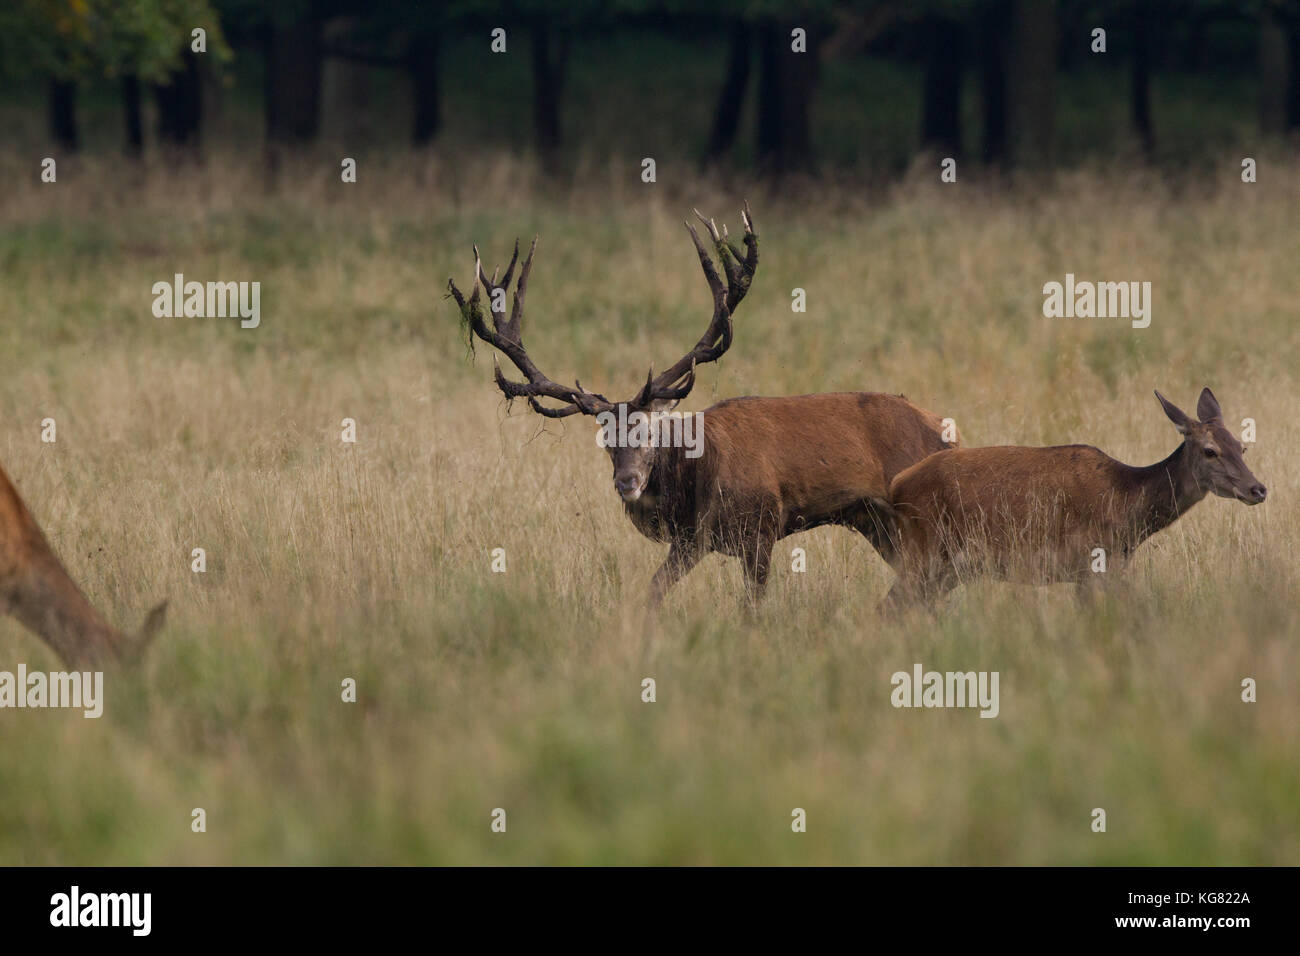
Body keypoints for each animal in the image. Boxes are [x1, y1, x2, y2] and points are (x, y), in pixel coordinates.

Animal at [448, 204, 960, 609]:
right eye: (604, 439)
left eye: (649, 430)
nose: (627, 483)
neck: (697, 478)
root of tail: (947, 431)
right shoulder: (692, 540)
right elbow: (653, 592)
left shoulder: (760, 527)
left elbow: (752, 607)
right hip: (874, 521)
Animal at [882, 388, 1267, 610]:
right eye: (1210, 450)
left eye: (1241, 446)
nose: (1258, 489)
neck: (1127, 504)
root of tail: (897, 487)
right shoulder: (1090, 562)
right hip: (924, 553)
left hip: (948, 568)